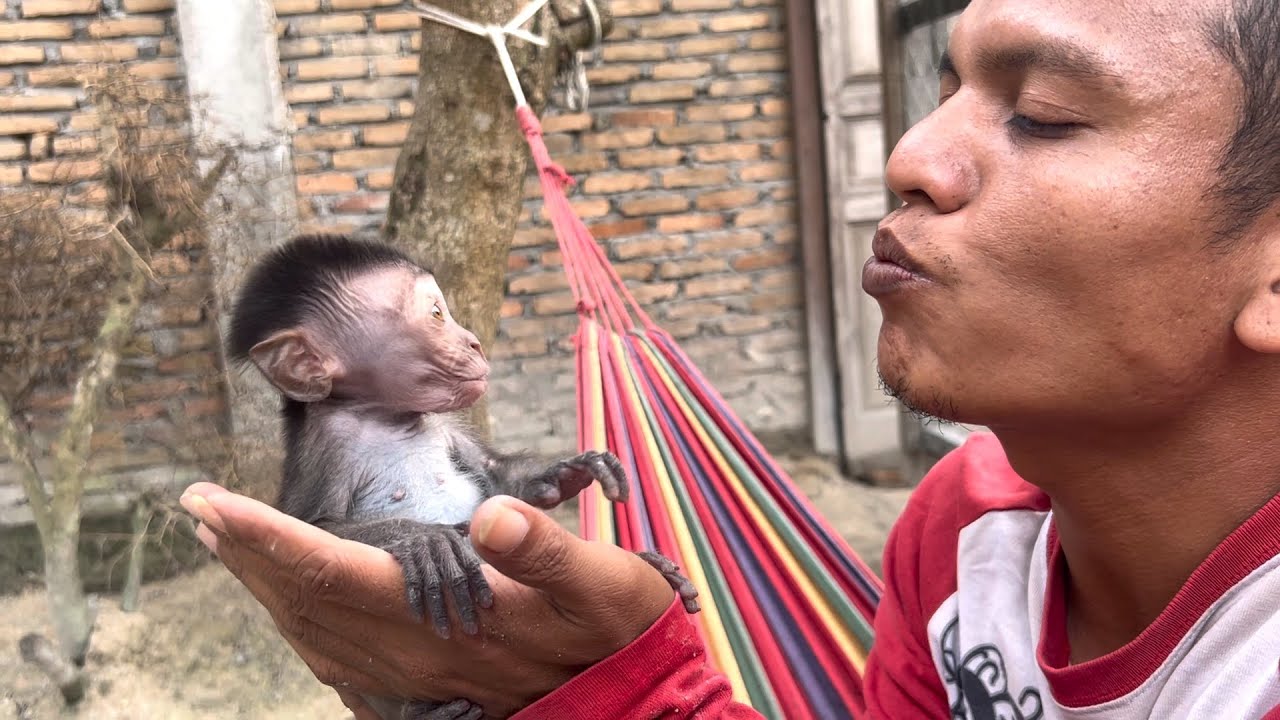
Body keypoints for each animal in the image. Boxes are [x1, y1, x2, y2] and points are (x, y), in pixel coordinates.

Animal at [225, 234, 699, 720]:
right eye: (437, 314)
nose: (473, 343)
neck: (386, 417)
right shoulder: (325, 444)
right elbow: (316, 525)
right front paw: (423, 541)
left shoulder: (443, 423)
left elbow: (496, 478)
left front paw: (568, 471)